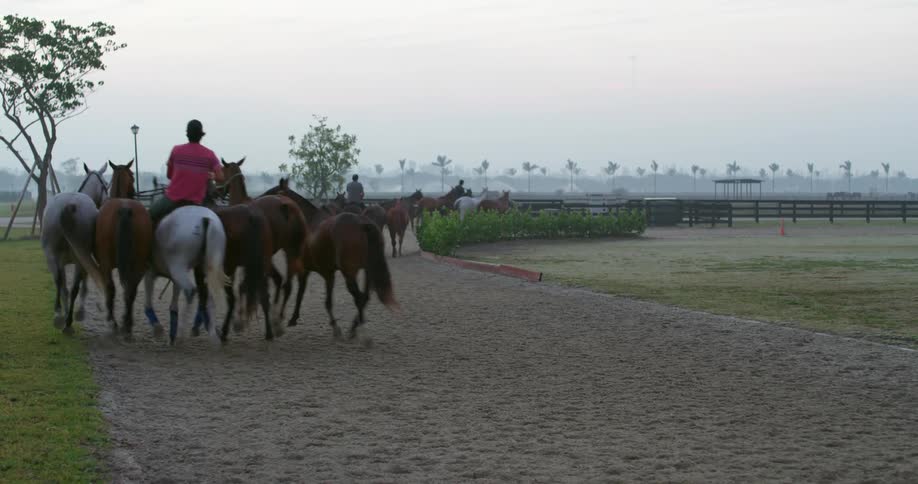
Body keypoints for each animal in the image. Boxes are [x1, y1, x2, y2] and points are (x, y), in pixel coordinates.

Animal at [43, 162, 109, 334]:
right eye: (106, 184)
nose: (107, 201)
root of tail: (68, 205)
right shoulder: (84, 260)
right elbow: (82, 287)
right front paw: (79, 313)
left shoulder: (62, 261)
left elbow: (64, 288)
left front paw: (66, 313)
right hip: (78, 259)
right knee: (73, 288)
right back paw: (67, 321)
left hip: (51, 256)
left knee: (60, 283)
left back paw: (59, 316)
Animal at [87, 160, 154, 340]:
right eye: (132, 176)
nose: (134, 191)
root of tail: (124, 206)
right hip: (138, 263)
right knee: (131, 290)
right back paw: (127, 324)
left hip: (106, 264)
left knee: (111, 287)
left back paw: (114, 322)